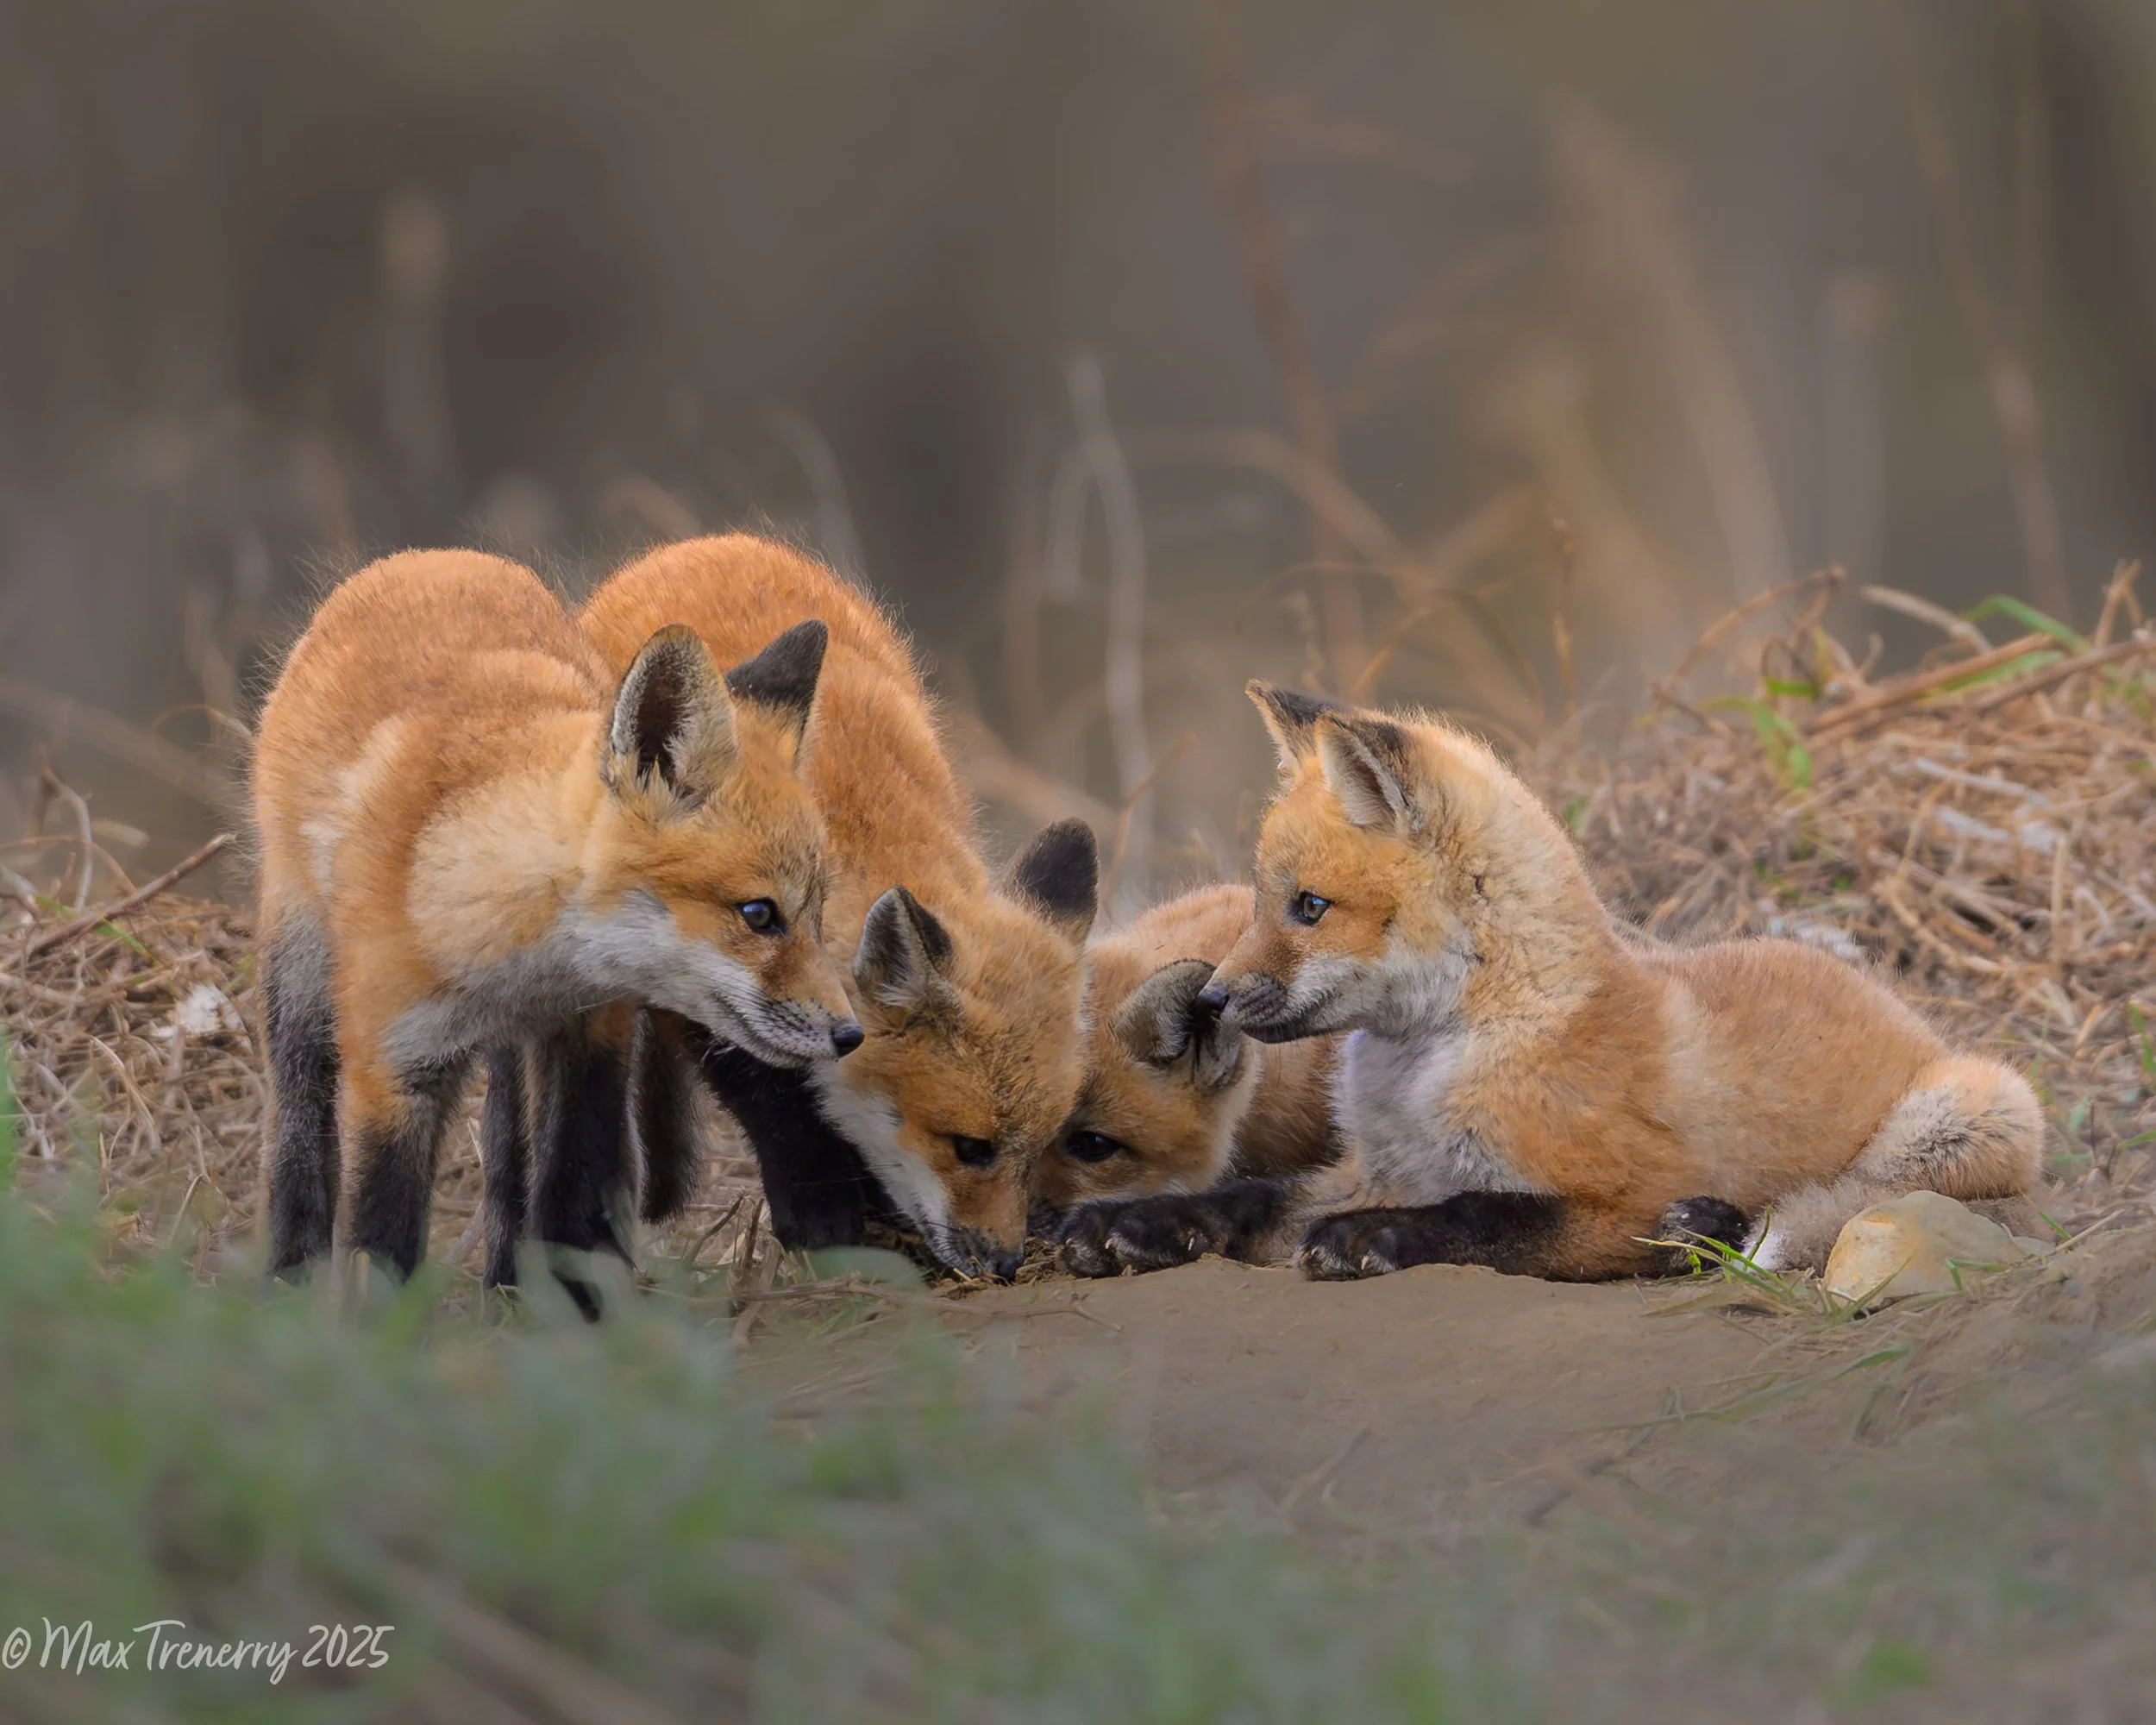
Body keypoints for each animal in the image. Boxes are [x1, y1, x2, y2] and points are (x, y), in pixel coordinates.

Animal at [251, 548, 860, 1285]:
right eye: (758, 914)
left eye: (817, 914)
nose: (850, 1035)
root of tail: (428, 557)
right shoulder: (392, 1067)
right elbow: (382, 1239)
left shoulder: (588, 1041)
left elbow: (573, 1208)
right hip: (301, 978)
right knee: (299, 1137)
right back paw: (289, 1277)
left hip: (518, 1063)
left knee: (508, 1163)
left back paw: (504, 1284)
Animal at [483, 534, 1099, 1282]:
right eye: (969, 1147)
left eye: (1039, 1150)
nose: (1007, 1264)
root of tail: (704, 544)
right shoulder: (707, 987)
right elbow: (773, 1101)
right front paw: (823, 1215)